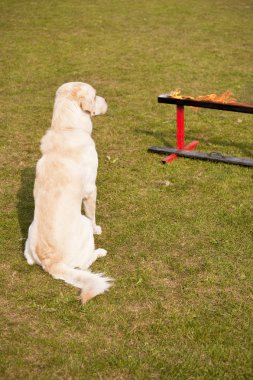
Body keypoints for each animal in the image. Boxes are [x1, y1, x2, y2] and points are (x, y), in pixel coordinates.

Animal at [24, 82, 111, 302]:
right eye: (95, 96)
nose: (106, 100)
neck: (66, 128)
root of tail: (50, 262)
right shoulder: (91, 189)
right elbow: (93, 214)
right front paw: (98, 229)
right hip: (83, 225)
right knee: (84, 265)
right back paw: (99, 252)